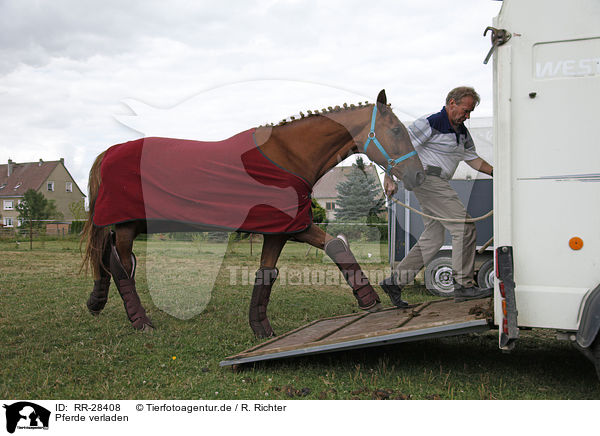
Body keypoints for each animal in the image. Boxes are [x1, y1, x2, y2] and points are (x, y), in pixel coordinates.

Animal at [82, 89, 424, 338]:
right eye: (396, 129)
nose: (419, 175)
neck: (289, 156)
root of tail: (107, 153)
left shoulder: (282, 231)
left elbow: (274, 271)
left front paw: (261, 327)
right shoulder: (293, 227)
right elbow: (336, 246)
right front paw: (369, 299)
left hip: (132, 225)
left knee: (106, 256)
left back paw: (97, 303)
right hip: (127, 226)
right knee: (121, 265)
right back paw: (140, 321)